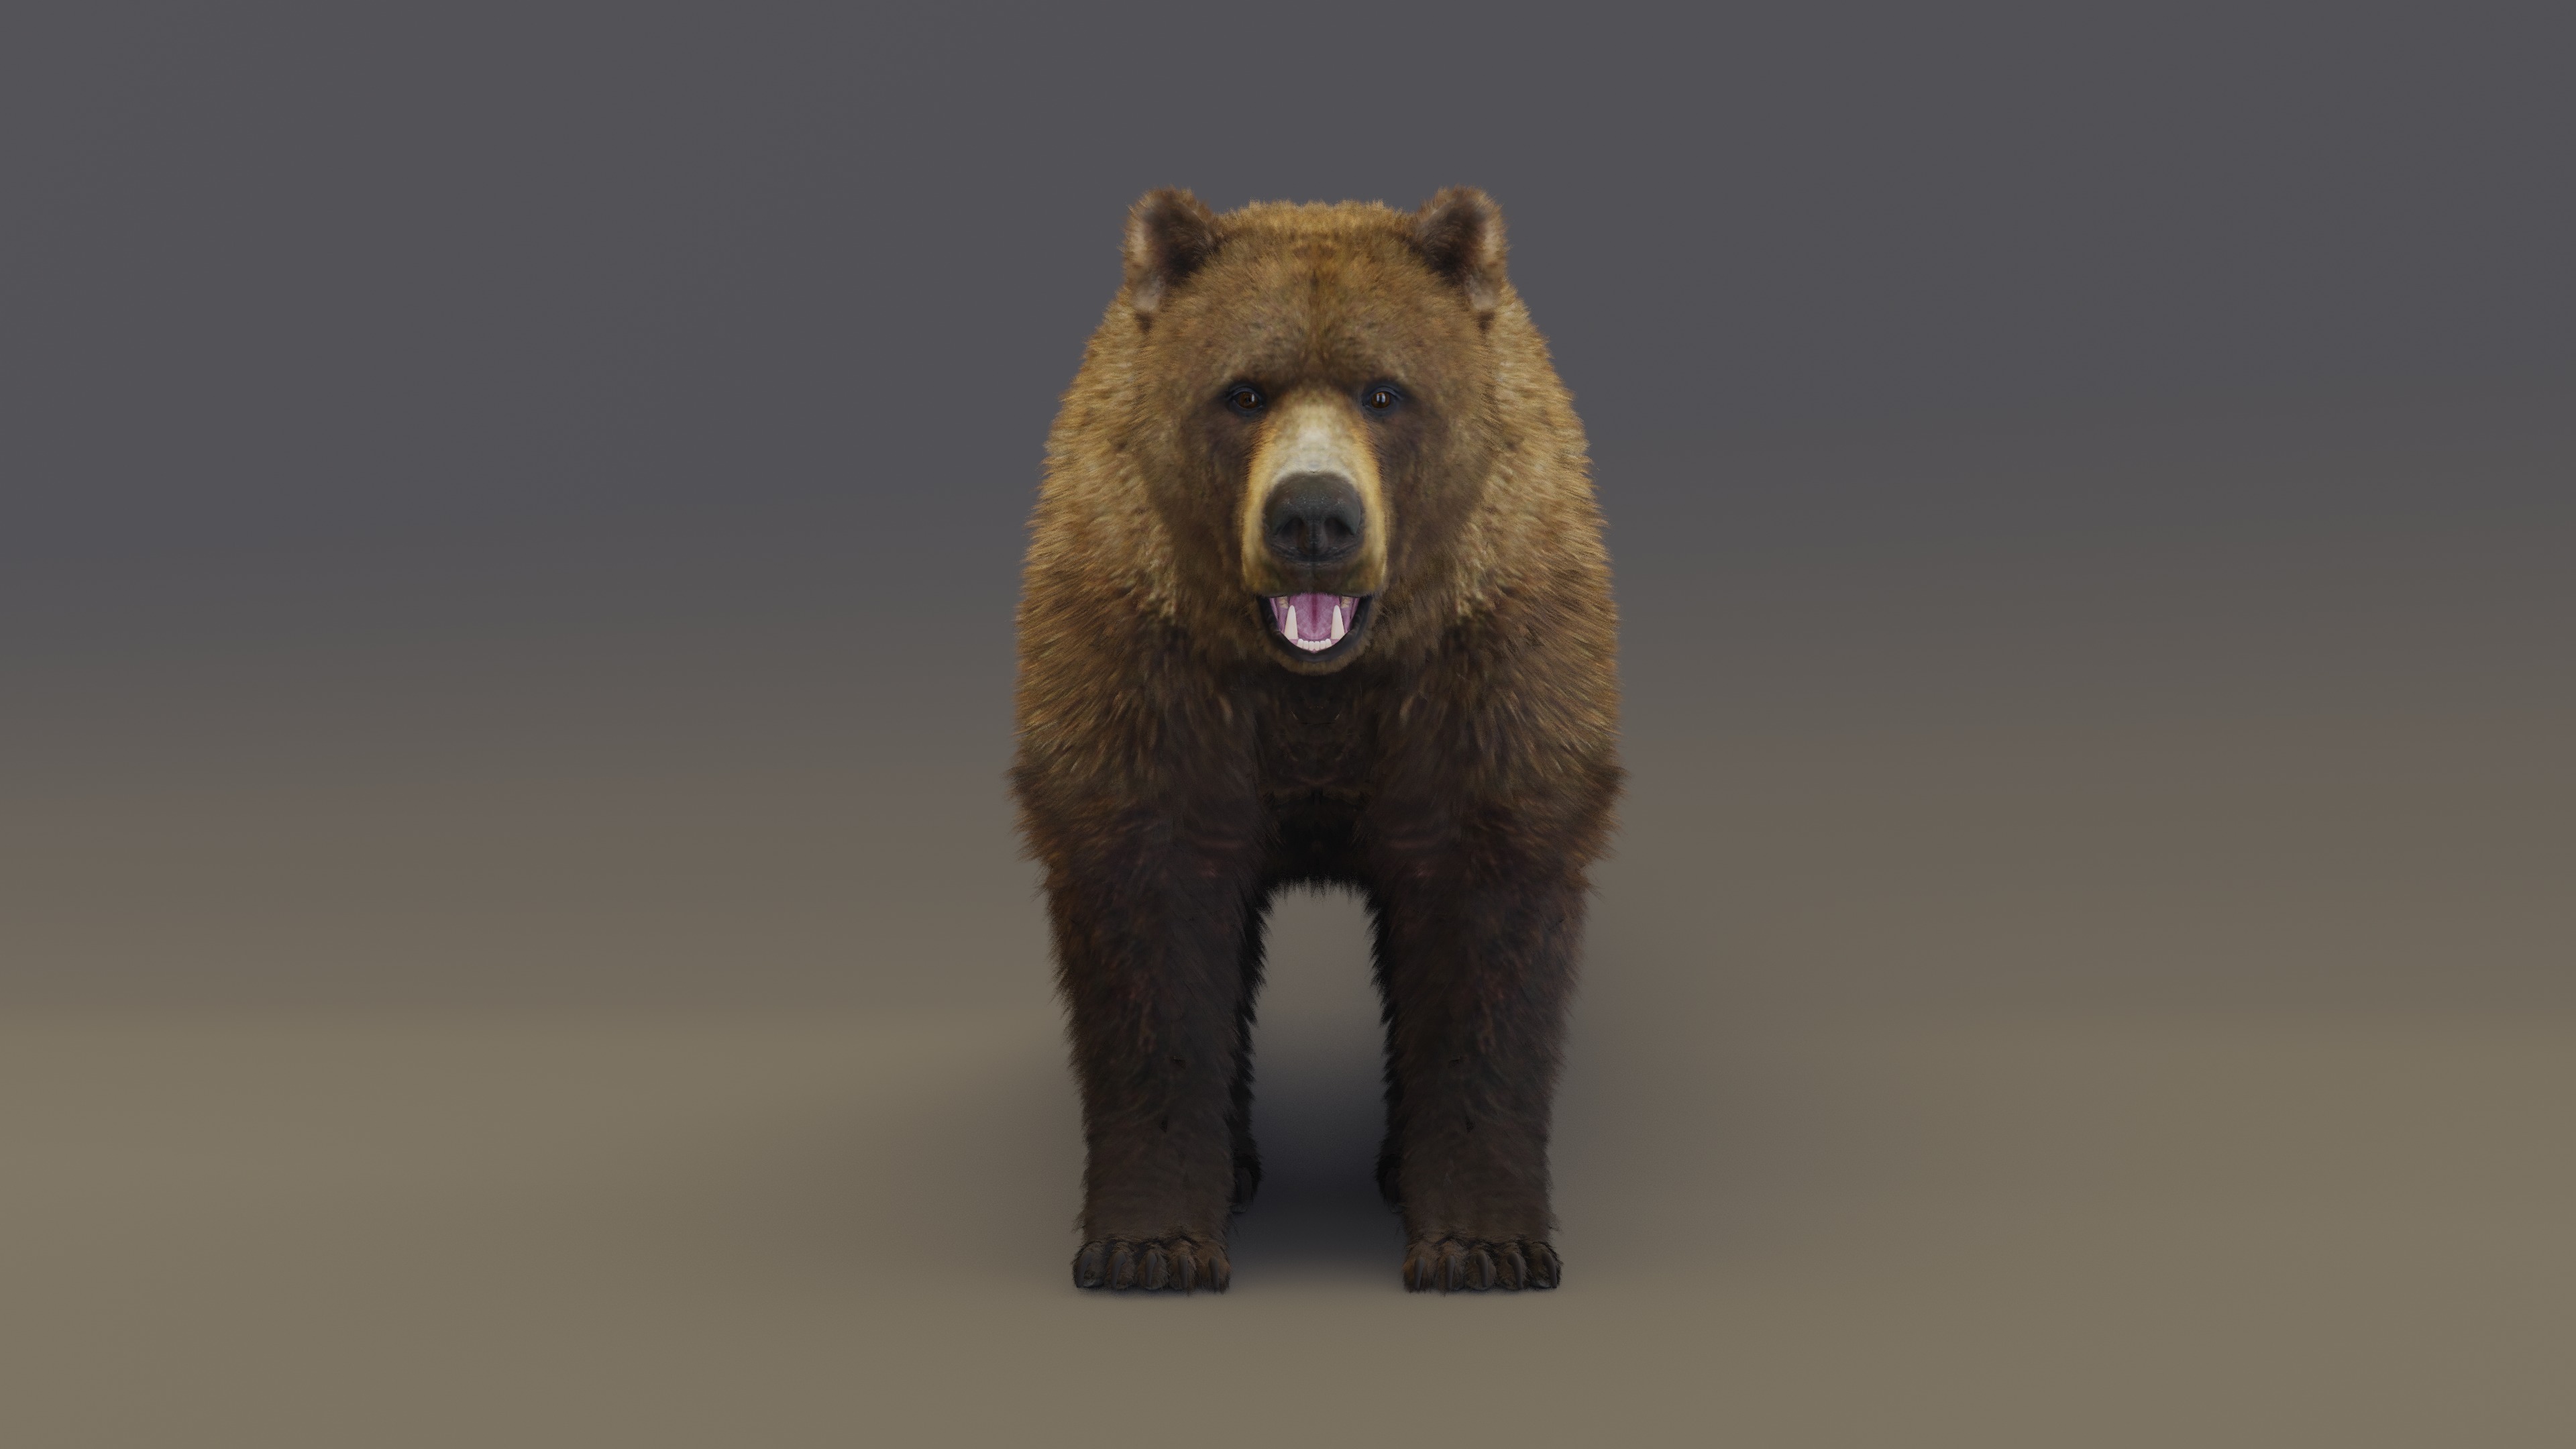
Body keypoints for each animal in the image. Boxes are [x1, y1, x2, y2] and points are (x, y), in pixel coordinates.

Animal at [1011, 187, 1620, 1293]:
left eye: (1386, 392)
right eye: (1243, 393)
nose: (1313, 520)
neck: (1319, 684)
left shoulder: (1487, 667)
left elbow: (1487, 936)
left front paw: (1485, 1244)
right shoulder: (1144, 664)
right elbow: (1150, 936)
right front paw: (1147, 1245)